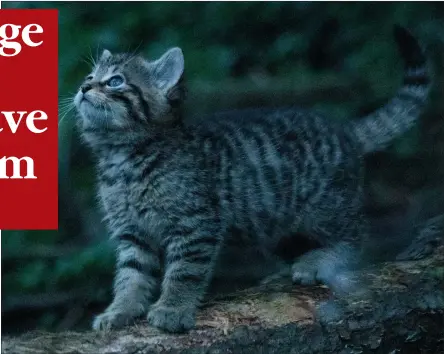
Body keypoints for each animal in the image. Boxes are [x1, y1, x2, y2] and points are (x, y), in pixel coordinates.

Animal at [73, 25, 430, 332]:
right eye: (90, 76)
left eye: (115, 81)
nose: (83, 87)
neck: (122, 158)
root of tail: (346, 131)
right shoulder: (133, 233)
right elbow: (131, 275)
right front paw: (121, 310)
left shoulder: (196, 224)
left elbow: (184, 271)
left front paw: (173, 308)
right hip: (275, 224)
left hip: (325, 206)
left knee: (356, 232)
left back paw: (322, 259)